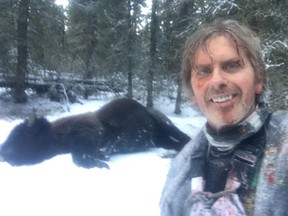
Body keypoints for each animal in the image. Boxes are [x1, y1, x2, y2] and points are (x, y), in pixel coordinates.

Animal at [0, 97, 191, 169]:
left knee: (185, 138)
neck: (55, 134)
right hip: (160, 139)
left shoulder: (91, 132)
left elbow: (78, 156)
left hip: (166, 124)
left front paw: (101, 163)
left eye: (19, 134)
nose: (3, 152)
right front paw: (102, 159)